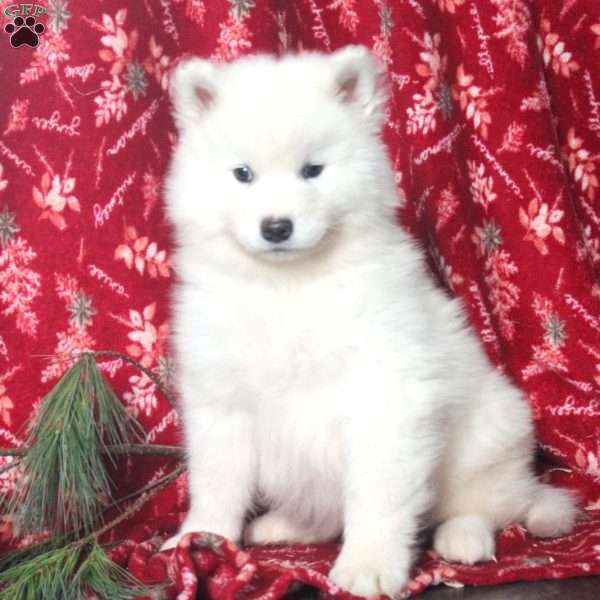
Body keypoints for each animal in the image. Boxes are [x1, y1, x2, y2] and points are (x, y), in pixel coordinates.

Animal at [163, 47, 576, 600]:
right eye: (242, 174)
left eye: (313, 170)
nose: (277, 227)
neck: (287, 285)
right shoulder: (220, 402)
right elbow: (216, 484)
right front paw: (198, 539)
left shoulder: (385, 398)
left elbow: (377, 497)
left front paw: (369, 566)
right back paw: (284, 525)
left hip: (488, 439)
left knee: (486, 504)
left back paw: (463, 538)